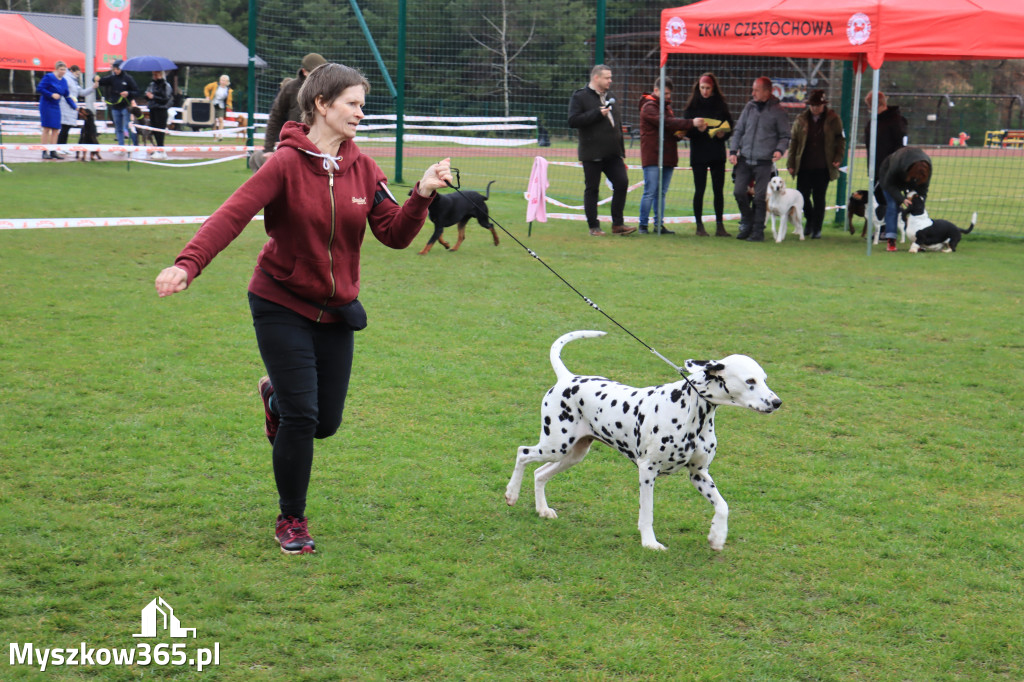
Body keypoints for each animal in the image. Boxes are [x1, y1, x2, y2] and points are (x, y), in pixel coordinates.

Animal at [505, 329, 782, 552]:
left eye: (765, 379)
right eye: (750, 381)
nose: (777, 402)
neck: (692, 412)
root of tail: (567, 378)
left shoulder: (699, 474)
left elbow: (723, 506)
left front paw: (717, 536)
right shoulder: (647, 471)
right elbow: (647, 512)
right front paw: (650, 543)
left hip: (572, 454)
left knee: (539, 474)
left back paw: (542, 509)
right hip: (555, 446)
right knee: (522, 453)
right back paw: (511, 494)